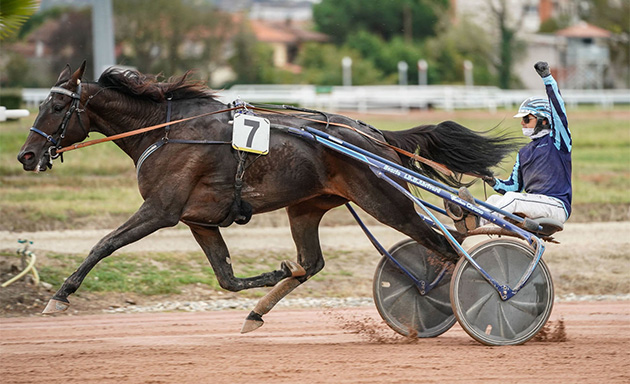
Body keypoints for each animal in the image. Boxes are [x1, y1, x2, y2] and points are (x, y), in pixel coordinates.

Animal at [17, 62, 520, 330]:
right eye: (40, 103)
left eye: (57, 106)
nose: (26, 155)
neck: (166, 130)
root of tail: (372, 133)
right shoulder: (199, 220)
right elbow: (226, 278)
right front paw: (274, 274)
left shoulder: (161, 209)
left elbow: (104, 244)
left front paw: (60, 295)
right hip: (306, 206)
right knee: (314, 262)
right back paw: (260, 310)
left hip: (385, 200)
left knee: (445, 246)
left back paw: (473, 291)